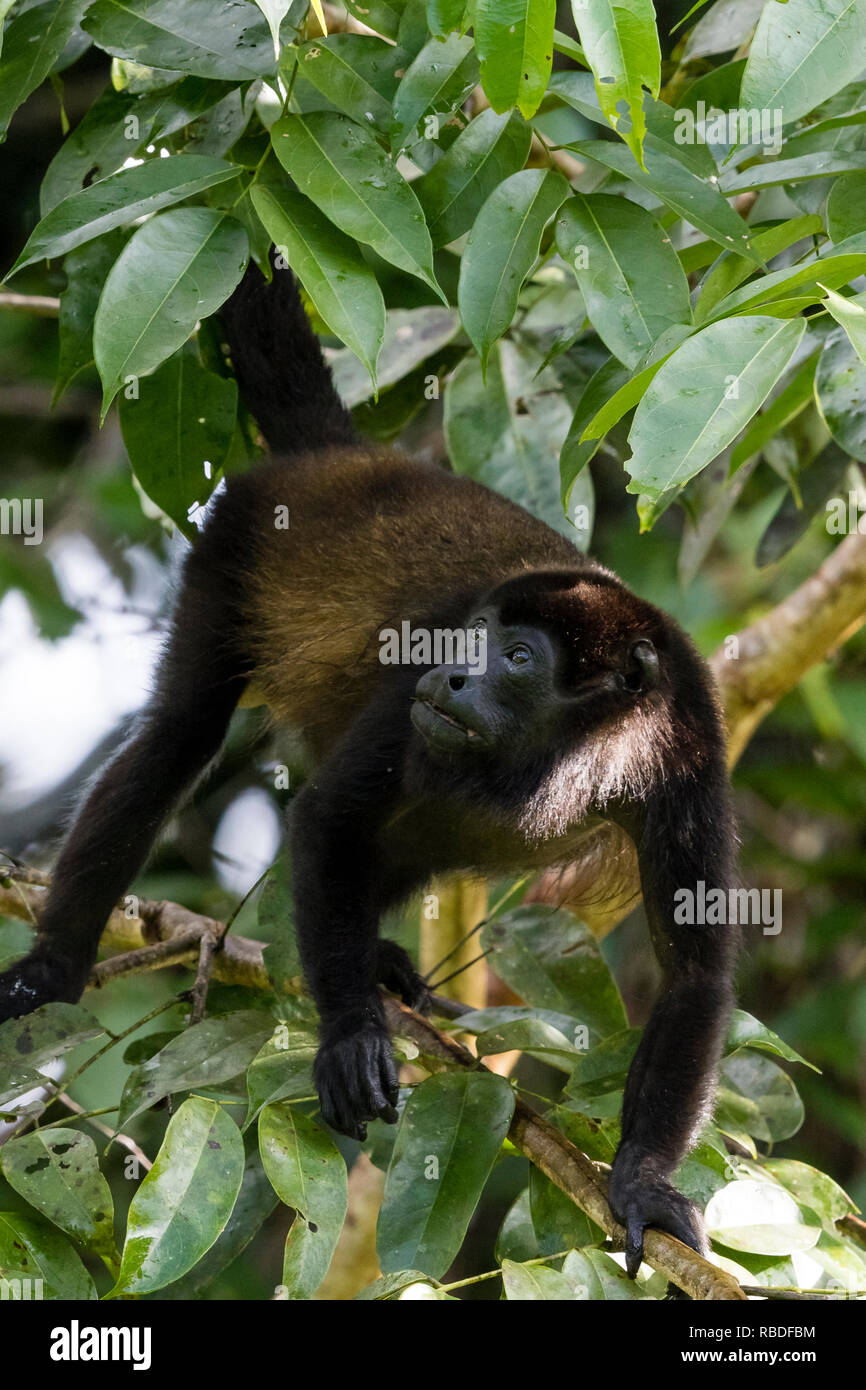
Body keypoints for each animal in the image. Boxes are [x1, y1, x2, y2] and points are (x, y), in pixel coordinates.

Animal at [1, 255, 739, 1273]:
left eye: (517, 657)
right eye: (474, 633)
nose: (452, 674)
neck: (587, 751)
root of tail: (347, 458)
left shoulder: (692, 756)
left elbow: (695, 972)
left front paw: (647, 1186)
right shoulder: (407, 688)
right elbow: (325, 816)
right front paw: (351, 1036)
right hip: (236, 539)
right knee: (179, 734)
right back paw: (55, 967)